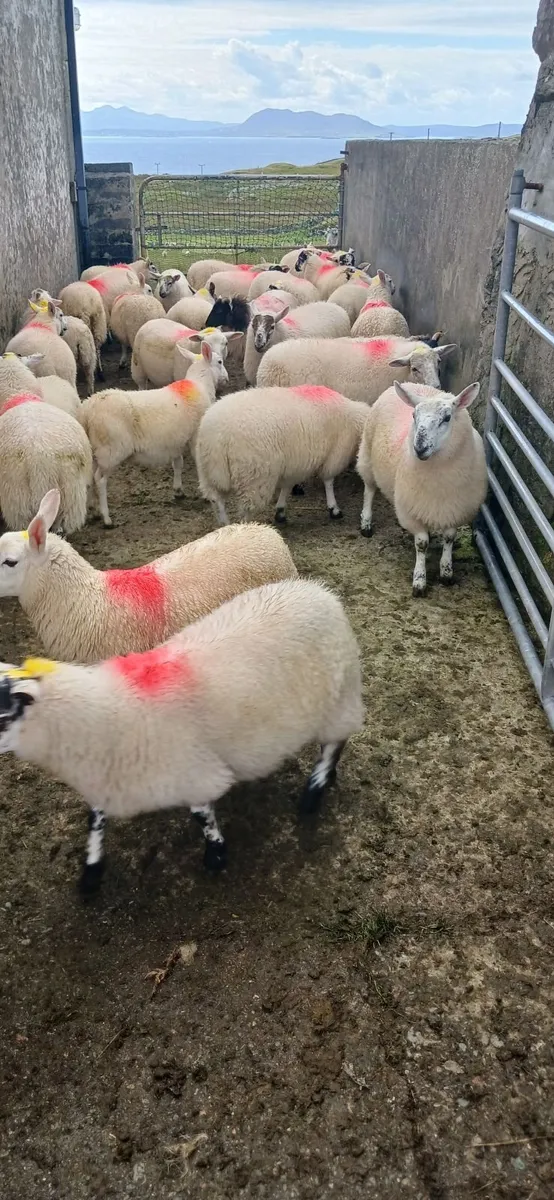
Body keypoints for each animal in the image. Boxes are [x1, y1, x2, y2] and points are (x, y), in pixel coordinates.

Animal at [0, 577, 363, 891]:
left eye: (1, 712)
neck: (106, 715)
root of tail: (321, 592)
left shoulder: (192, 773)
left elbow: (201, 816)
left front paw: (216, 856)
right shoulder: (108, 778)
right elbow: (95, 821)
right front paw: (91, 873)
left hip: (339, 697)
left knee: (333, 743)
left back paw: (314, 793)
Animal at [81, 340, 226, 526]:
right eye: (220, 362)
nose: (226, 378)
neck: (199, 385)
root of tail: (87, 410)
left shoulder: (175, 440)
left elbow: (178, 464)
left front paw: (178, 490)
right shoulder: (194, 437)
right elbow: (197, 463)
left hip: (94, 452)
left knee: (90, 479)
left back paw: (92, 511)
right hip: (111, 451)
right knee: (100, 480)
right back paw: (106, 518)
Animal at [195, 384, 368, 525]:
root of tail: (218, 436)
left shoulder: (294, 461)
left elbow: (287, 485)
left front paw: (280, 511)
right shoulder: (334, 455)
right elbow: (328, 481)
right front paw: (334, 508)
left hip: (208, 471)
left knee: (216, 500)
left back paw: (224, 524)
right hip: (254, 475)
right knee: (246, 509)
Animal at [356, 380, 487, 595]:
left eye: (447, 417)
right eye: (413, 416)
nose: (419, 448)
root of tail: (410, 383)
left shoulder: (456, 509)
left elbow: (449, 538)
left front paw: (446, 572)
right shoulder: (412, 511)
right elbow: (422, 544)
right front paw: (419, 580)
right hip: (367, 455)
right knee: (369, 490)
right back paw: (366, 523)